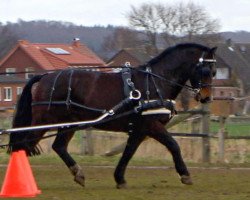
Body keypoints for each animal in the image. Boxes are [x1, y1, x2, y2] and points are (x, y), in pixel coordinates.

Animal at [7, 43, 215, 188]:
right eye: (205, 70)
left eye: (214, 72)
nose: (206, 97)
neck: (155, 82)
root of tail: (45, 77)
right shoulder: (152, 125)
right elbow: (173, 145)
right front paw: (185, 175)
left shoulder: (139, 129)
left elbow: (129, 152)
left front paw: (119, 178)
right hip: (44, 121)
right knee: (24, 145)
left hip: (69, 123)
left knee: (58, 146)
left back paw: (78, 174)